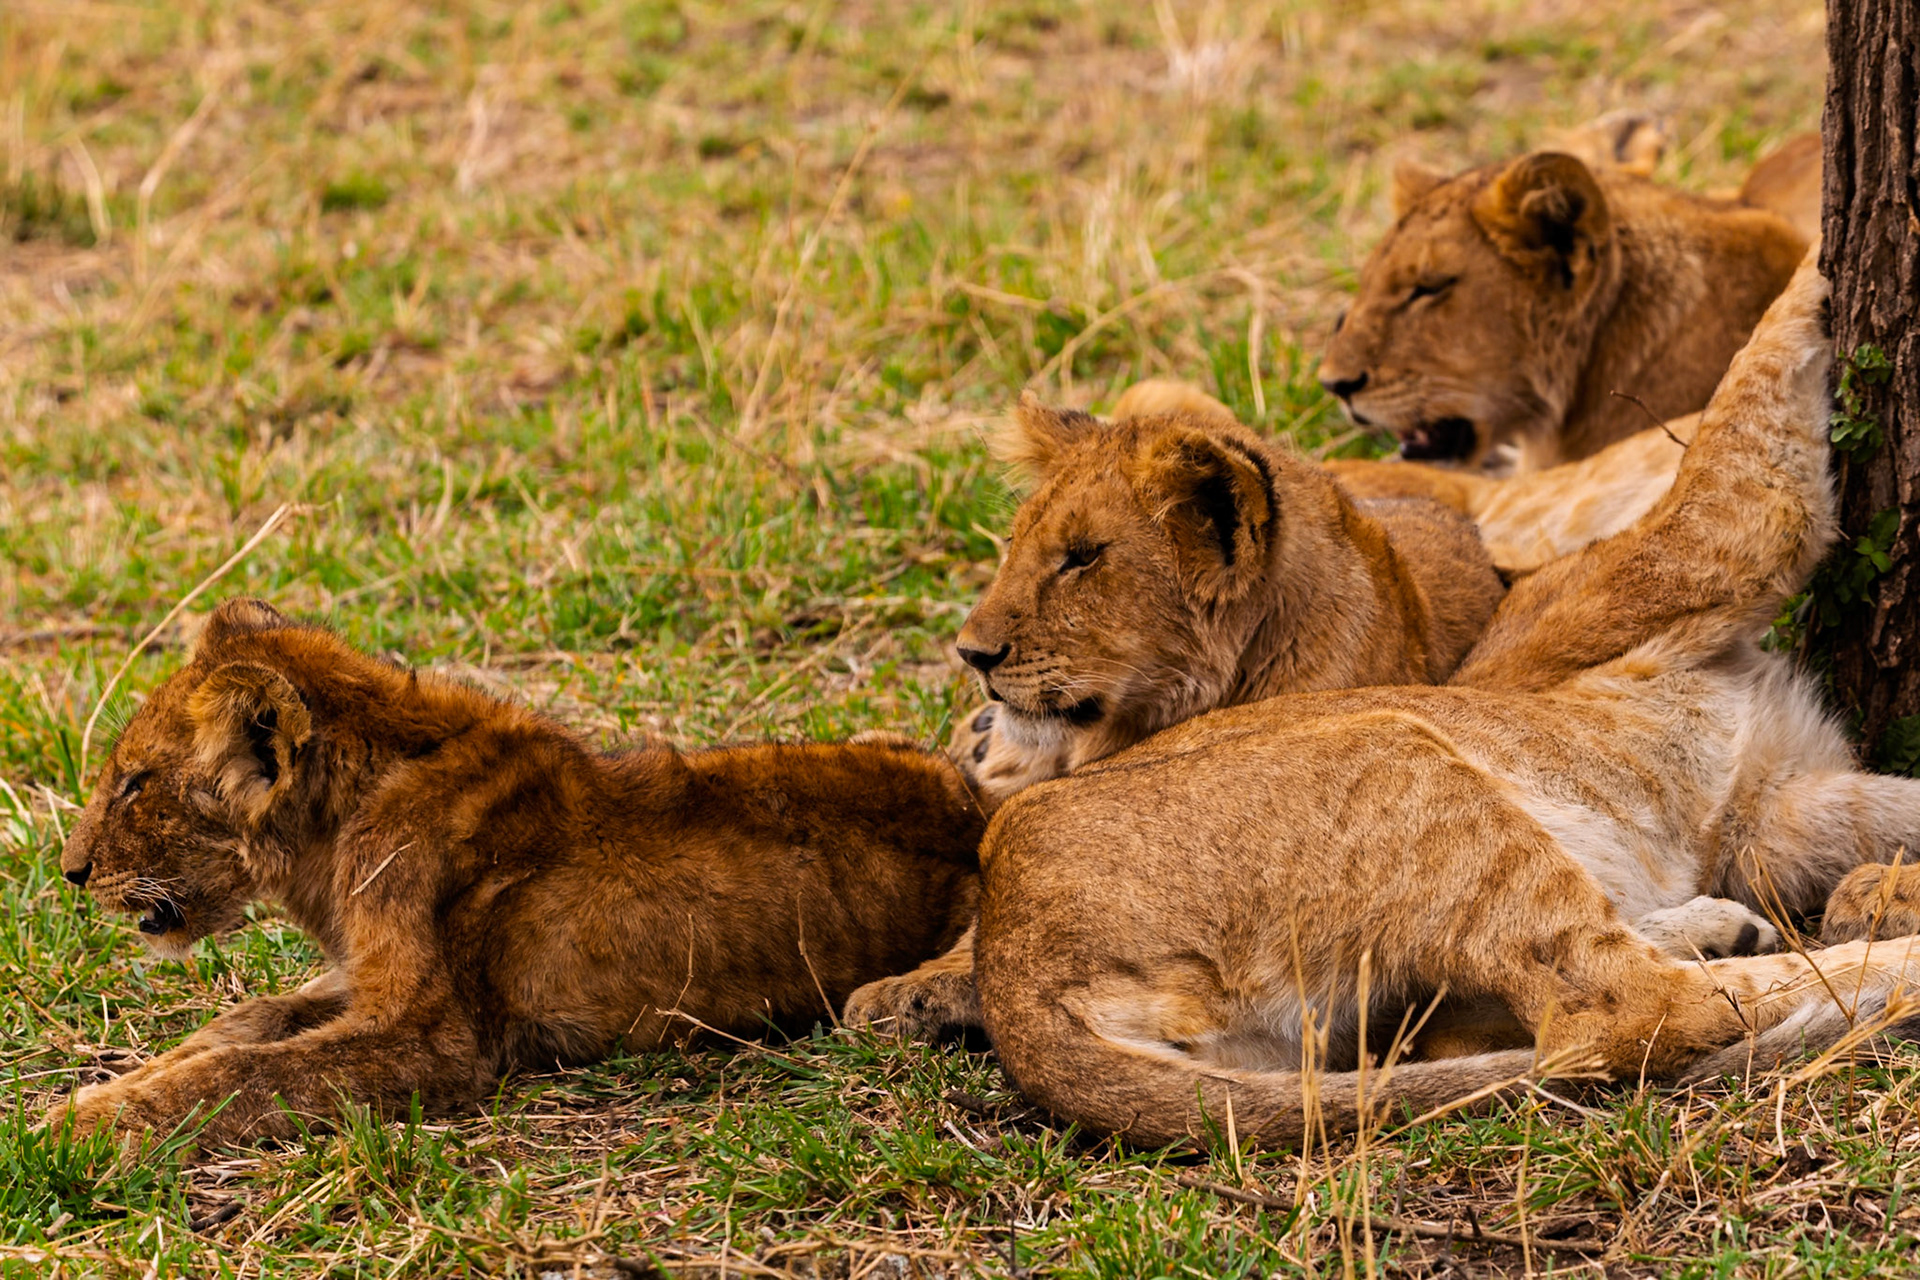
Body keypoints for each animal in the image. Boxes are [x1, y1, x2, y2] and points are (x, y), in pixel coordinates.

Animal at [47, 600, 983, 1149]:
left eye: (134, 783)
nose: (70, 872)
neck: (333, 835)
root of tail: (974, 813)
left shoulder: (439, 1040)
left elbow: (246, 1073)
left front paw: (80, 1124)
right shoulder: (364, 977)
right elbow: (247, 1024)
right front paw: (125, 1077)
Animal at [975, 258, 1920, 1149]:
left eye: (1078, 558)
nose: (972, 655)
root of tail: (1009, 975)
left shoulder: (1777, 803)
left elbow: (1886, 807)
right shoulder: (1702, 547)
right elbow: (1751, 398)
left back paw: (1716, 926)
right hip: (1402, 760)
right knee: (1622, 1010)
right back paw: (1881, 971)